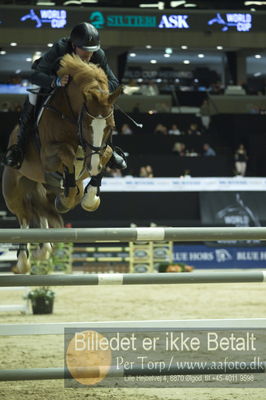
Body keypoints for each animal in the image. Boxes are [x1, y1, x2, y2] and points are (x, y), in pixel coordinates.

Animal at [2, 53, 122, 272]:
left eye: (111, 126)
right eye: (87, 125)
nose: (92, 167)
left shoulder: (98, 153)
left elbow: (106, 155)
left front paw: (90, 198)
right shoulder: (48, 156)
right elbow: (68, 155)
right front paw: (67, 195)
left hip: (38, 186)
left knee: (41, 210)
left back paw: (44, 248)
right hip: (13, 189)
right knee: (23, 216)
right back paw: (24, 261)